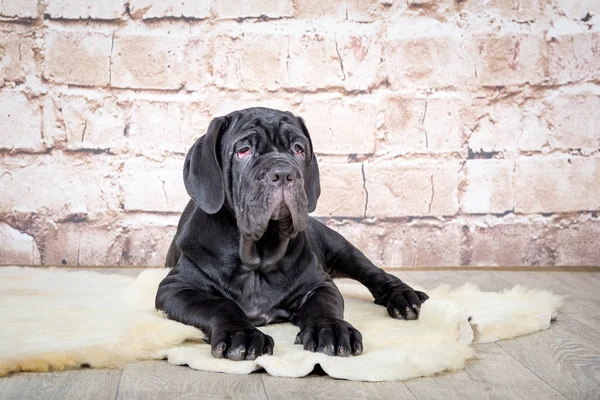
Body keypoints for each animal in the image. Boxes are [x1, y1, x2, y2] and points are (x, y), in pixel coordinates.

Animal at [155, 108, 426, 360]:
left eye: (298, 149)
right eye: (243, 150)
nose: (284, 173)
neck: (258, 261)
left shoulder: (319, 284)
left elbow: (324, 306)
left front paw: (331, 330)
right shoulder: (176, 288)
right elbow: (219, 305)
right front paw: (240, 334)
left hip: (342, 248)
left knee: (375, 274)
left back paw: (404, 297)